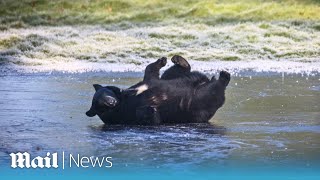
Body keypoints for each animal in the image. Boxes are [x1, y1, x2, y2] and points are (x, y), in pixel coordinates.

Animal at [85, 55, 230, 125]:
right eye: (100, 104)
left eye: (105, 93)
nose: (111, 102)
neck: (122, 101)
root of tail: (205, 81)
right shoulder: (125, 114)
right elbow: (147, 116)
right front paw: (151, 109)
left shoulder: (144, 84)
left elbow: (150, 72)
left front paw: (161, 60)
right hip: (199, 103)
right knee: (214, 92)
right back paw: (224, 76)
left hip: (181, 79)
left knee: (176, 72)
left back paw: (178, 59)